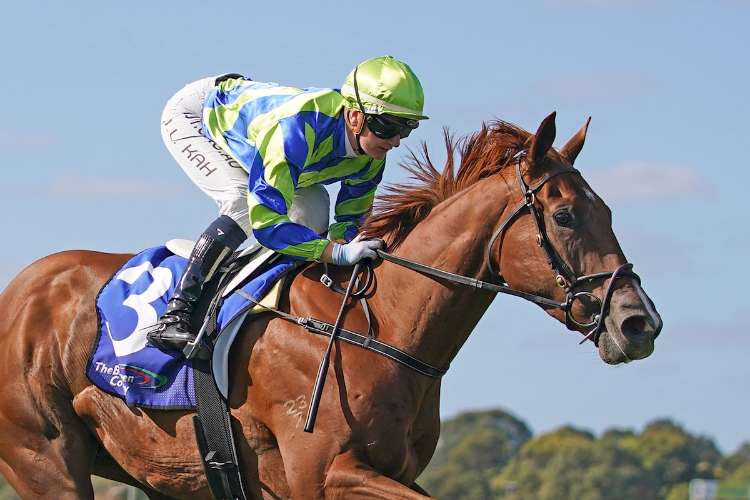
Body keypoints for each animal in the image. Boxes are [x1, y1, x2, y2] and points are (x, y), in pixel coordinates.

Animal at [0, 112, 661, 499]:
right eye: (565, 216)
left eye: (608, 211)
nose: (639, 323)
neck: (383, 328)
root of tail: (17, 294)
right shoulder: (321, 474)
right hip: (46, 461)